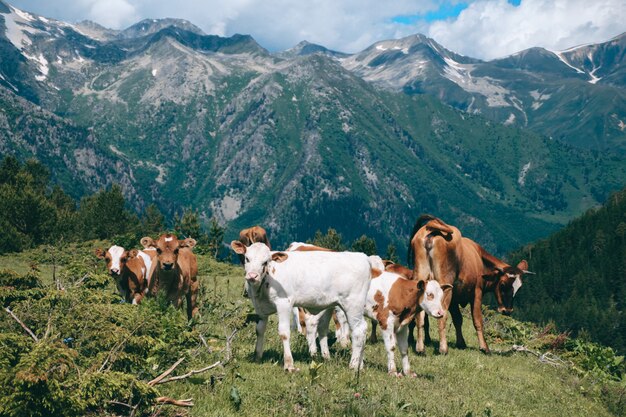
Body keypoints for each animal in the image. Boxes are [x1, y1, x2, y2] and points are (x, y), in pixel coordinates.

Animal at [232, 240, 372, 370]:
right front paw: (257, 357)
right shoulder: (259, 308)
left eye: (265, 262)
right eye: (247, 258)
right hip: (332, 305)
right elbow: (259, 331)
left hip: (353, 305)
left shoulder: (284, 303)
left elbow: (284, 332)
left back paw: (353, 365)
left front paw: (289, 364)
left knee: (359, 330)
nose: (252, 276)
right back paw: (358, 365)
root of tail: (363, 257)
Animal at [408, 214, 528, 354]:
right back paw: (443, 349)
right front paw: (484, 347)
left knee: (419, 315)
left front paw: (461, 343)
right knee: (441, 316)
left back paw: (420, 348)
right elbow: (477, 320)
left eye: (519, 288)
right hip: (444, 286)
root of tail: (433, 230)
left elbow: (458, 319)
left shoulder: (455, 298)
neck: (480, 259)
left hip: (421, 279)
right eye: (502, 284)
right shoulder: (477, 293)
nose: (507, 310)